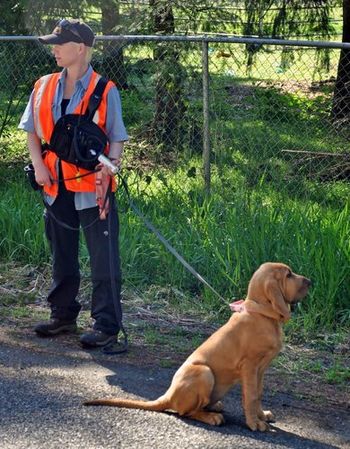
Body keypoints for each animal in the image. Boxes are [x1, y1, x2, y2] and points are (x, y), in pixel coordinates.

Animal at [85, 262, 312, 430]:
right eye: (288, 275)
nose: (310, 281)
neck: (261, 314)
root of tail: (168, 396)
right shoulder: (249, 367)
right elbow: (251, 396)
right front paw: (254, 423)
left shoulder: (260, 370)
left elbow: (258, 394)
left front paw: (261, 415)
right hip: (204, 372)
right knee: (185, 412)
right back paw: (211, 417)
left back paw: (214, 407)